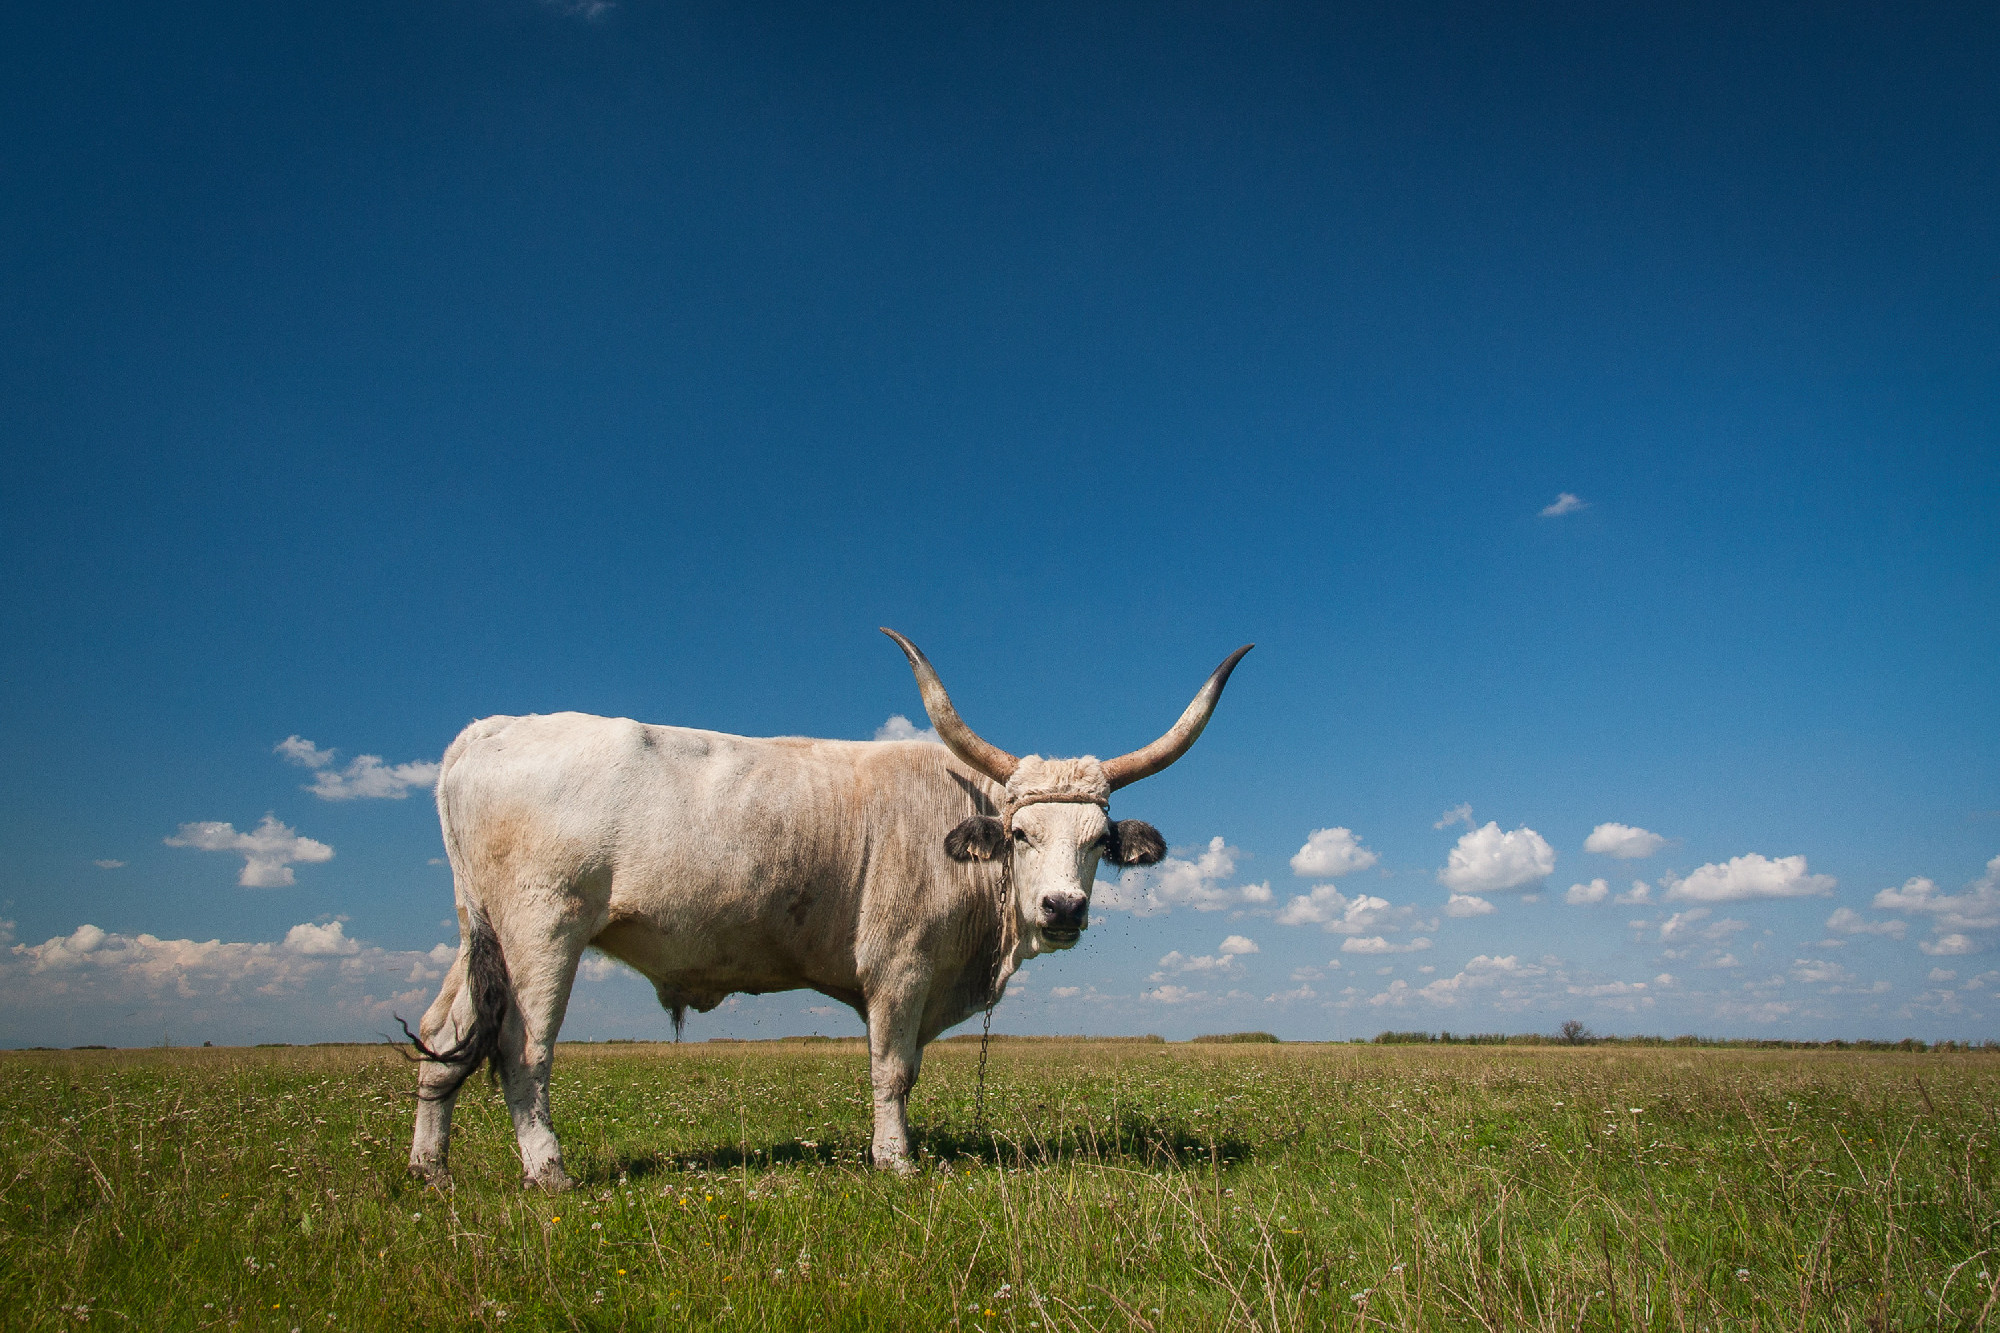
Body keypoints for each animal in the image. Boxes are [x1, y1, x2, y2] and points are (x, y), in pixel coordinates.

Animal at [404, 629, 1251, 1187]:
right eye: (1020, 832)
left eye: (1099, 839)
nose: (1063, 907)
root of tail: (486, 731)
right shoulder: (899, 968)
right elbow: (894, 1069)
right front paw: (897, 1160)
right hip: (542, 929)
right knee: (523, 1048)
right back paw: (549, 1172)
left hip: (480, 933)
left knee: (444, 1035)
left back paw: (429, 1170)